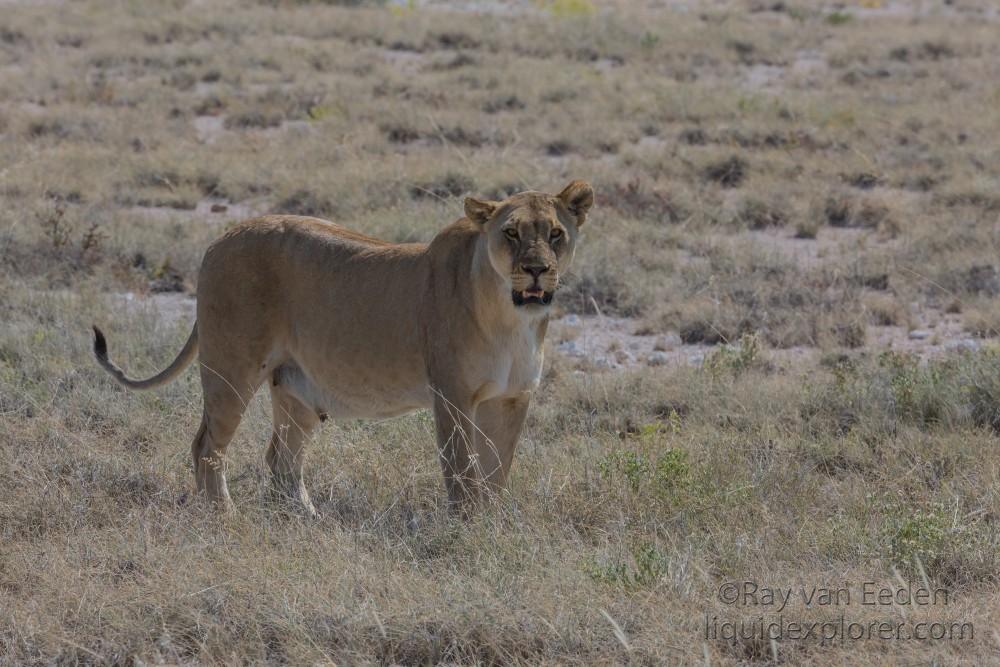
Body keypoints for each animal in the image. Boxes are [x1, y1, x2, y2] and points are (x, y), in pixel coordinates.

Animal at [92, 181, 592, 516]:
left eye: (555, 234)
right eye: (511, 233)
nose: (537, 269)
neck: (512, 318)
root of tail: (220, 237)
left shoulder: (512, 399)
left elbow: (496, 473)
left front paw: (491, 524)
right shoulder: (452, 397)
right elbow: (462, 472)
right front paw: (465, 529)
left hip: (297, 390)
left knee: (281, 458)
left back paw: (306, 520)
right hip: (231, 370)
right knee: (207, 446)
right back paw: (224, 517)